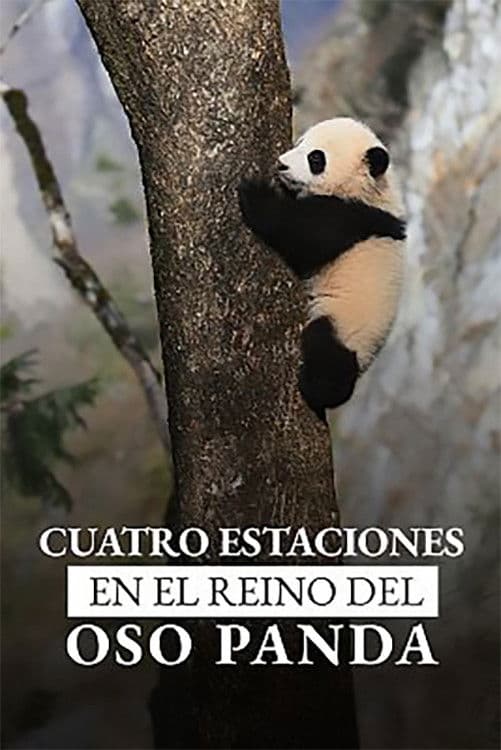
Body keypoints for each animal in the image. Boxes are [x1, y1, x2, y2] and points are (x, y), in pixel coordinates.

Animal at [238, 117, 406, 422]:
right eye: (299, 142)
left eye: (316, 159)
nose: (281, 164)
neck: (369, 189)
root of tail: (366, 360)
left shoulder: (349, 218)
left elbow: (303, 235)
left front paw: (256, 194)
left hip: (346, 324)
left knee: (326, 354)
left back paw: (316, 389)